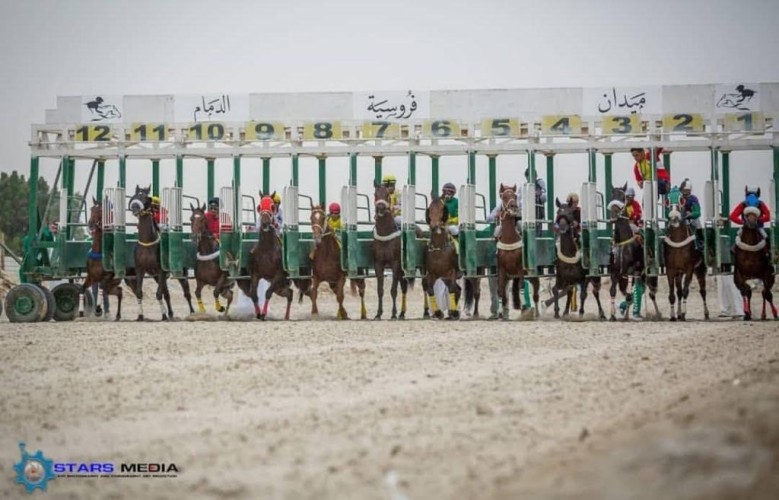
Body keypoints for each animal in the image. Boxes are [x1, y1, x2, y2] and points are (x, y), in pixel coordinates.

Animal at [374, 182, 412, 318]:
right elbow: (380, 290)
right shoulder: (378, 263)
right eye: (375, 194)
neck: (385, 233)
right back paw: (402, 313)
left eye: (387, 195)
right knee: (404, 287)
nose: (380, 208)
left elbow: (393, 290)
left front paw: (393, 313)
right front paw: (378, 313)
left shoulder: (395, 263)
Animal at [496, 184, 540, 320]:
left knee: (536, 293)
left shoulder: (520, 268)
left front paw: (525, 309)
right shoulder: (502, 270)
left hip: (532, 275)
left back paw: (537, 313)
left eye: (515, 196)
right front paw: (500, 313)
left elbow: (521, 286)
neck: (509, 240)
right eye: (504, 196)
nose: (513, 207)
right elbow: (500, 291)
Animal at [608, 184, 660, 320]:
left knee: (651, 291)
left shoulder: (635, 270)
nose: (613, 216)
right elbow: (616, 290)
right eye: (612, 196)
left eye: (622, 197)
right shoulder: (617, 272)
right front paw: (613, 314)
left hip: (647, 271)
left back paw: (657, 313)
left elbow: (634, 292)